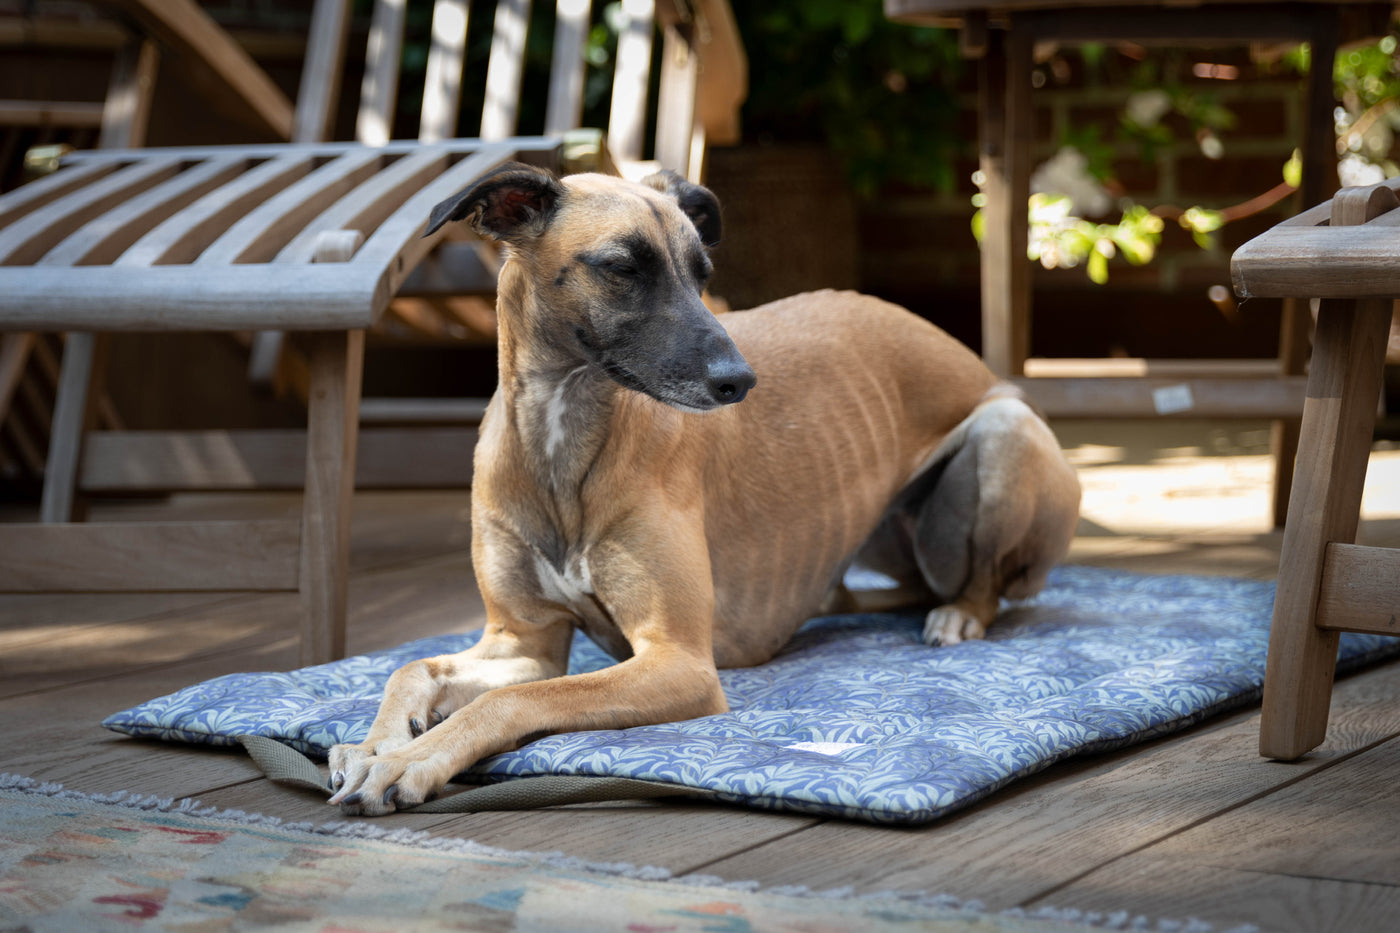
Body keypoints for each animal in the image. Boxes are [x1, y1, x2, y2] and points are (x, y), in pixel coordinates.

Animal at [327, 163, 1080, 812]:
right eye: (622, 267)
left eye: (702, 274)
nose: (739, 382)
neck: (561, 437)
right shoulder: (522, 645)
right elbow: (410, 669)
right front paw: (372, 746)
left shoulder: (679, 662)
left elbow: (509, 702)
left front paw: (411, 759)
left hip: (1006, 432)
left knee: (981, 581)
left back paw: (959, 615)